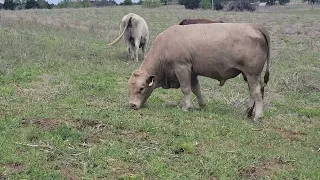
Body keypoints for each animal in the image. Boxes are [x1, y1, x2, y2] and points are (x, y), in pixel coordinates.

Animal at [127, 22, 270, 121]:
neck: (165, 46)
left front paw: (186, 107)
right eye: (130, 88)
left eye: (141, 88)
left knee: (257, 91)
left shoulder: (182, 67)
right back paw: (248, 111)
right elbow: (196, 89)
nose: (132, 105)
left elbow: (185, 88)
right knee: (253, 91)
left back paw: (258, 116)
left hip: (252, 74)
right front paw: (201, 105)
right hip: (248, 75)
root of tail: (254, 26)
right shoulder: (192, 73)